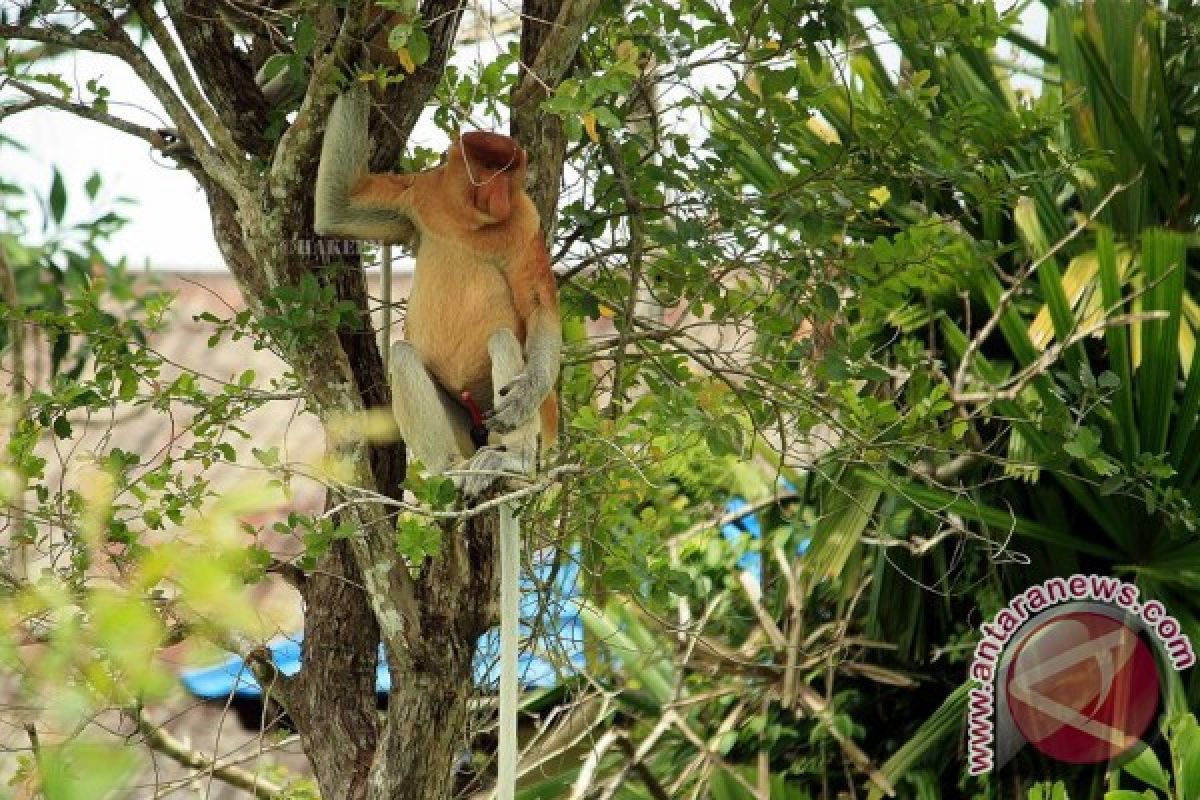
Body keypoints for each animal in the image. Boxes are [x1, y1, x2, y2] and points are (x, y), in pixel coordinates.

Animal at [309, 82, 556, 800]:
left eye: (508, 168)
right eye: (485, 165)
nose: (498, 191)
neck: (473, 220)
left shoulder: (527, 226)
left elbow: (541, 310)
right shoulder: (419, 198)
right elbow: (339, 210)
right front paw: (350, 66)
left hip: (494, 406)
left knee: (505, 338)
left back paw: (513, 460)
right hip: (453, 414)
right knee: (402, 353)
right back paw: (452, 476)